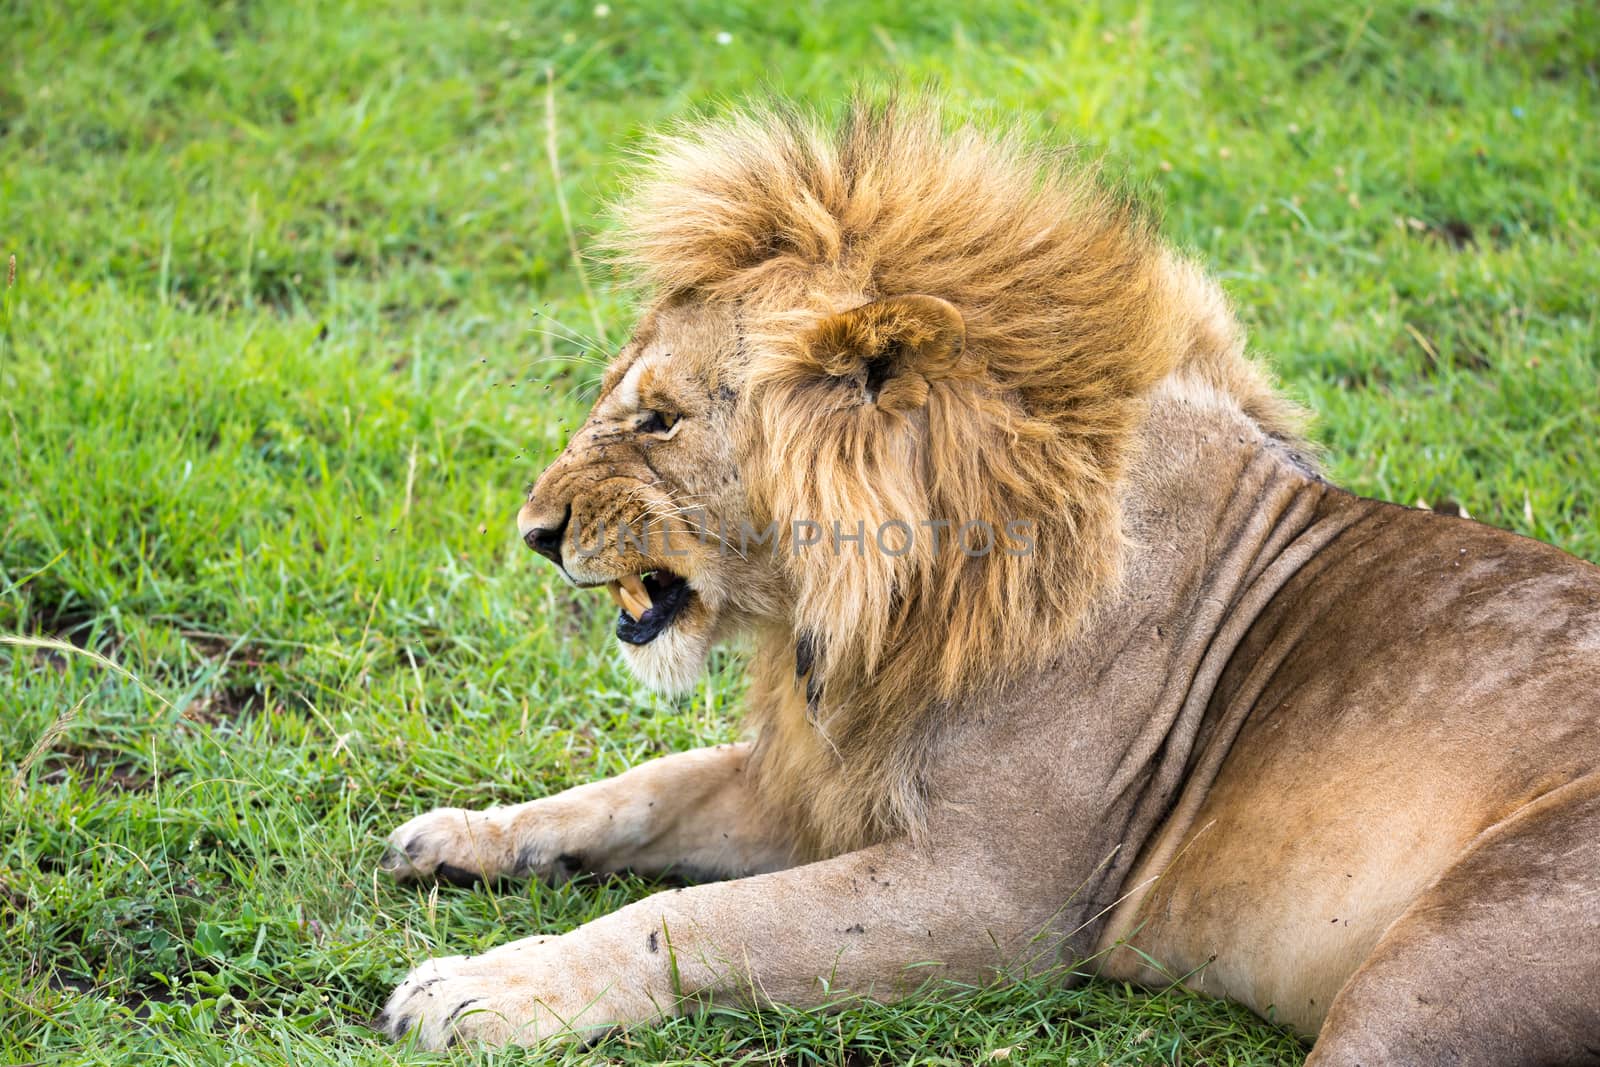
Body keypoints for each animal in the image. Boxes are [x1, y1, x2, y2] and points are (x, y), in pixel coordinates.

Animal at [371, 97, 1600, 1062]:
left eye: (659, 419)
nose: (534, 532)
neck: (866, 610)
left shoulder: (1001, 896)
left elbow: (691, 919)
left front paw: (481, 988)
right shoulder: (824, 781)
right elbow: (641, 790)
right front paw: (466, 836)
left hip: (1431, 971)